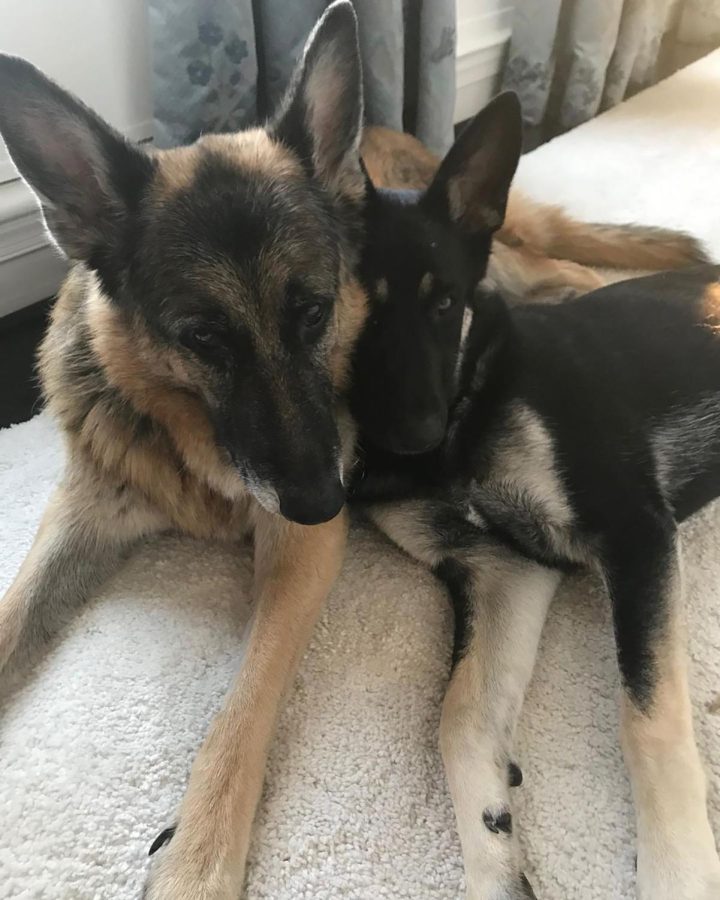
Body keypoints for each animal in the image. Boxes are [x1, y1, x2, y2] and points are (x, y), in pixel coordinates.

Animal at [0, 3, 366, 896]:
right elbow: (9, 623)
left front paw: (198, 857)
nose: (328, 501)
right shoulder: (78, 517)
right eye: (204, 339)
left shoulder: (299, 551)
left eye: (313, 312)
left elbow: (243, 705)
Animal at [352, 95, 720, 896]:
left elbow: (647, 718)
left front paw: (677, 872)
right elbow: (459, 717)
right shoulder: (506, 568)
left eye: (445, 303)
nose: (416, 433)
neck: (471, 395)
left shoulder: (635, 532)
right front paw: (494, 860)